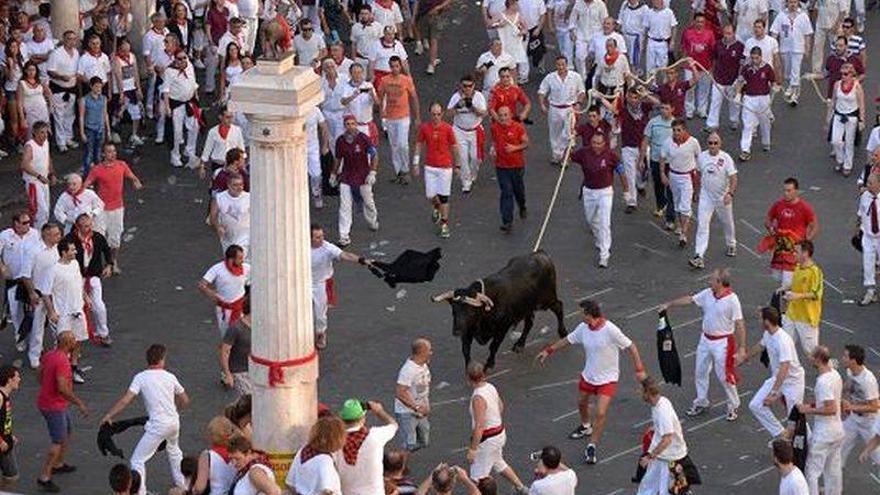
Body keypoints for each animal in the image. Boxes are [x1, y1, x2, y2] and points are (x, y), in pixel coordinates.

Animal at [432, 252, 568, 368]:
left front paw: (489, 364)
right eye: (454, 311)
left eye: (470, 312)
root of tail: (541, 255)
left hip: (546, 300)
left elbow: (493, 346)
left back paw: (563, 332)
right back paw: (519, 344)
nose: (456, 331)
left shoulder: (502, 327)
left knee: (559, 306)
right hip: (527, 307)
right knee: (529, 322)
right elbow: (465, 349)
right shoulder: (467, 331)